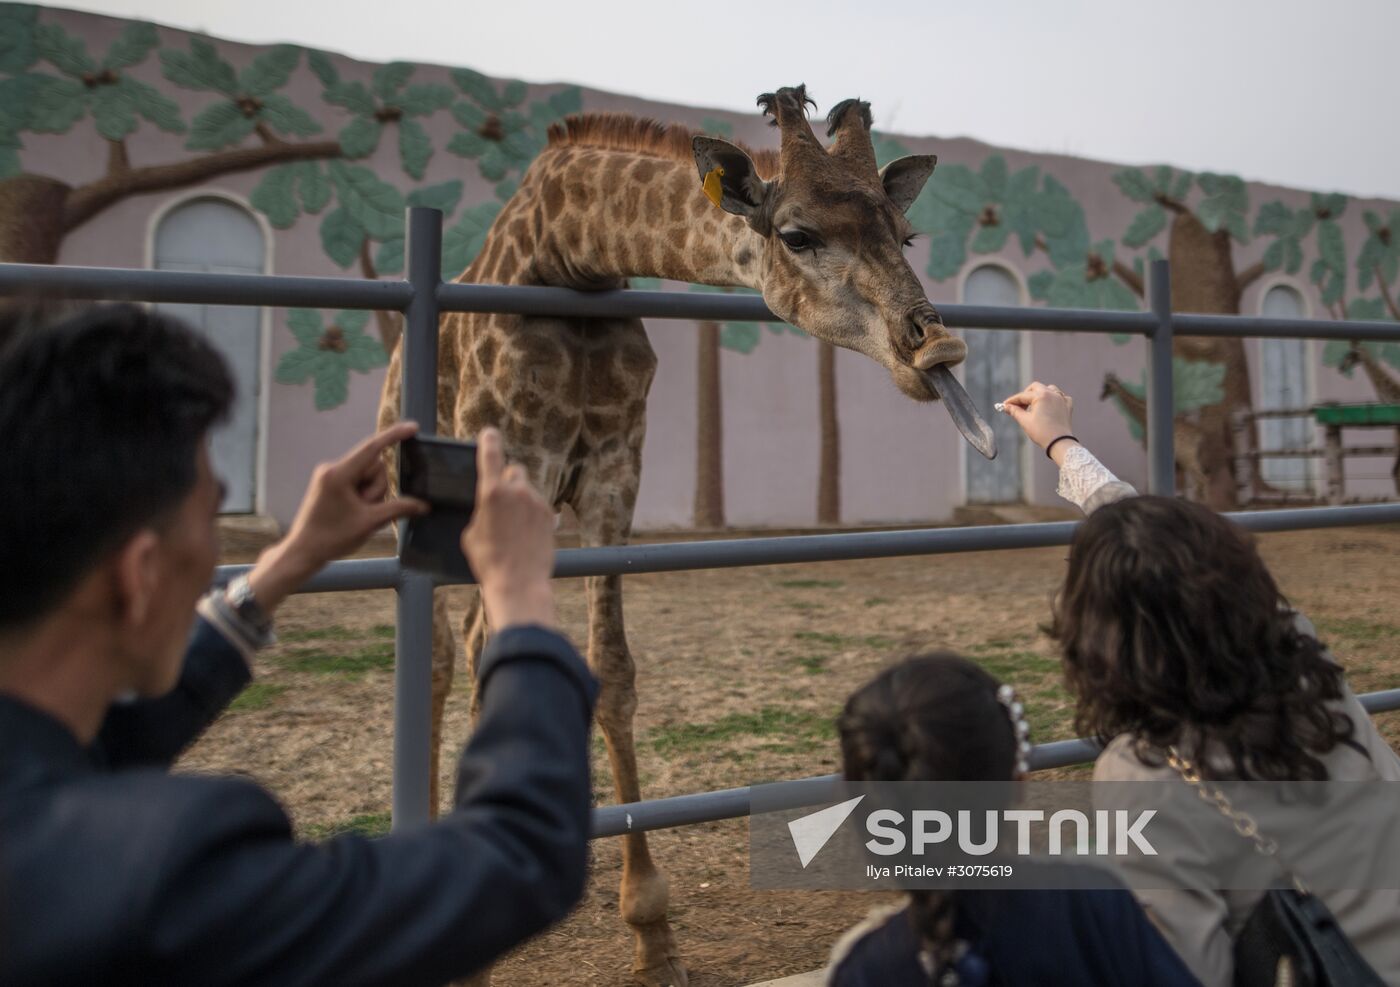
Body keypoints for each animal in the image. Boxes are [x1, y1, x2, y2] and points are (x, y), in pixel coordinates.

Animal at [372, 86, 985, 985]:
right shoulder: (512, 460)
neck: (570, 256)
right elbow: (500, 657)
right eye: (798, 235)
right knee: (447, 649)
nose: (936, 344)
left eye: (902, 233)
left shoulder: (612, 473)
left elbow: (615, 671)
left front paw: (654, 933)